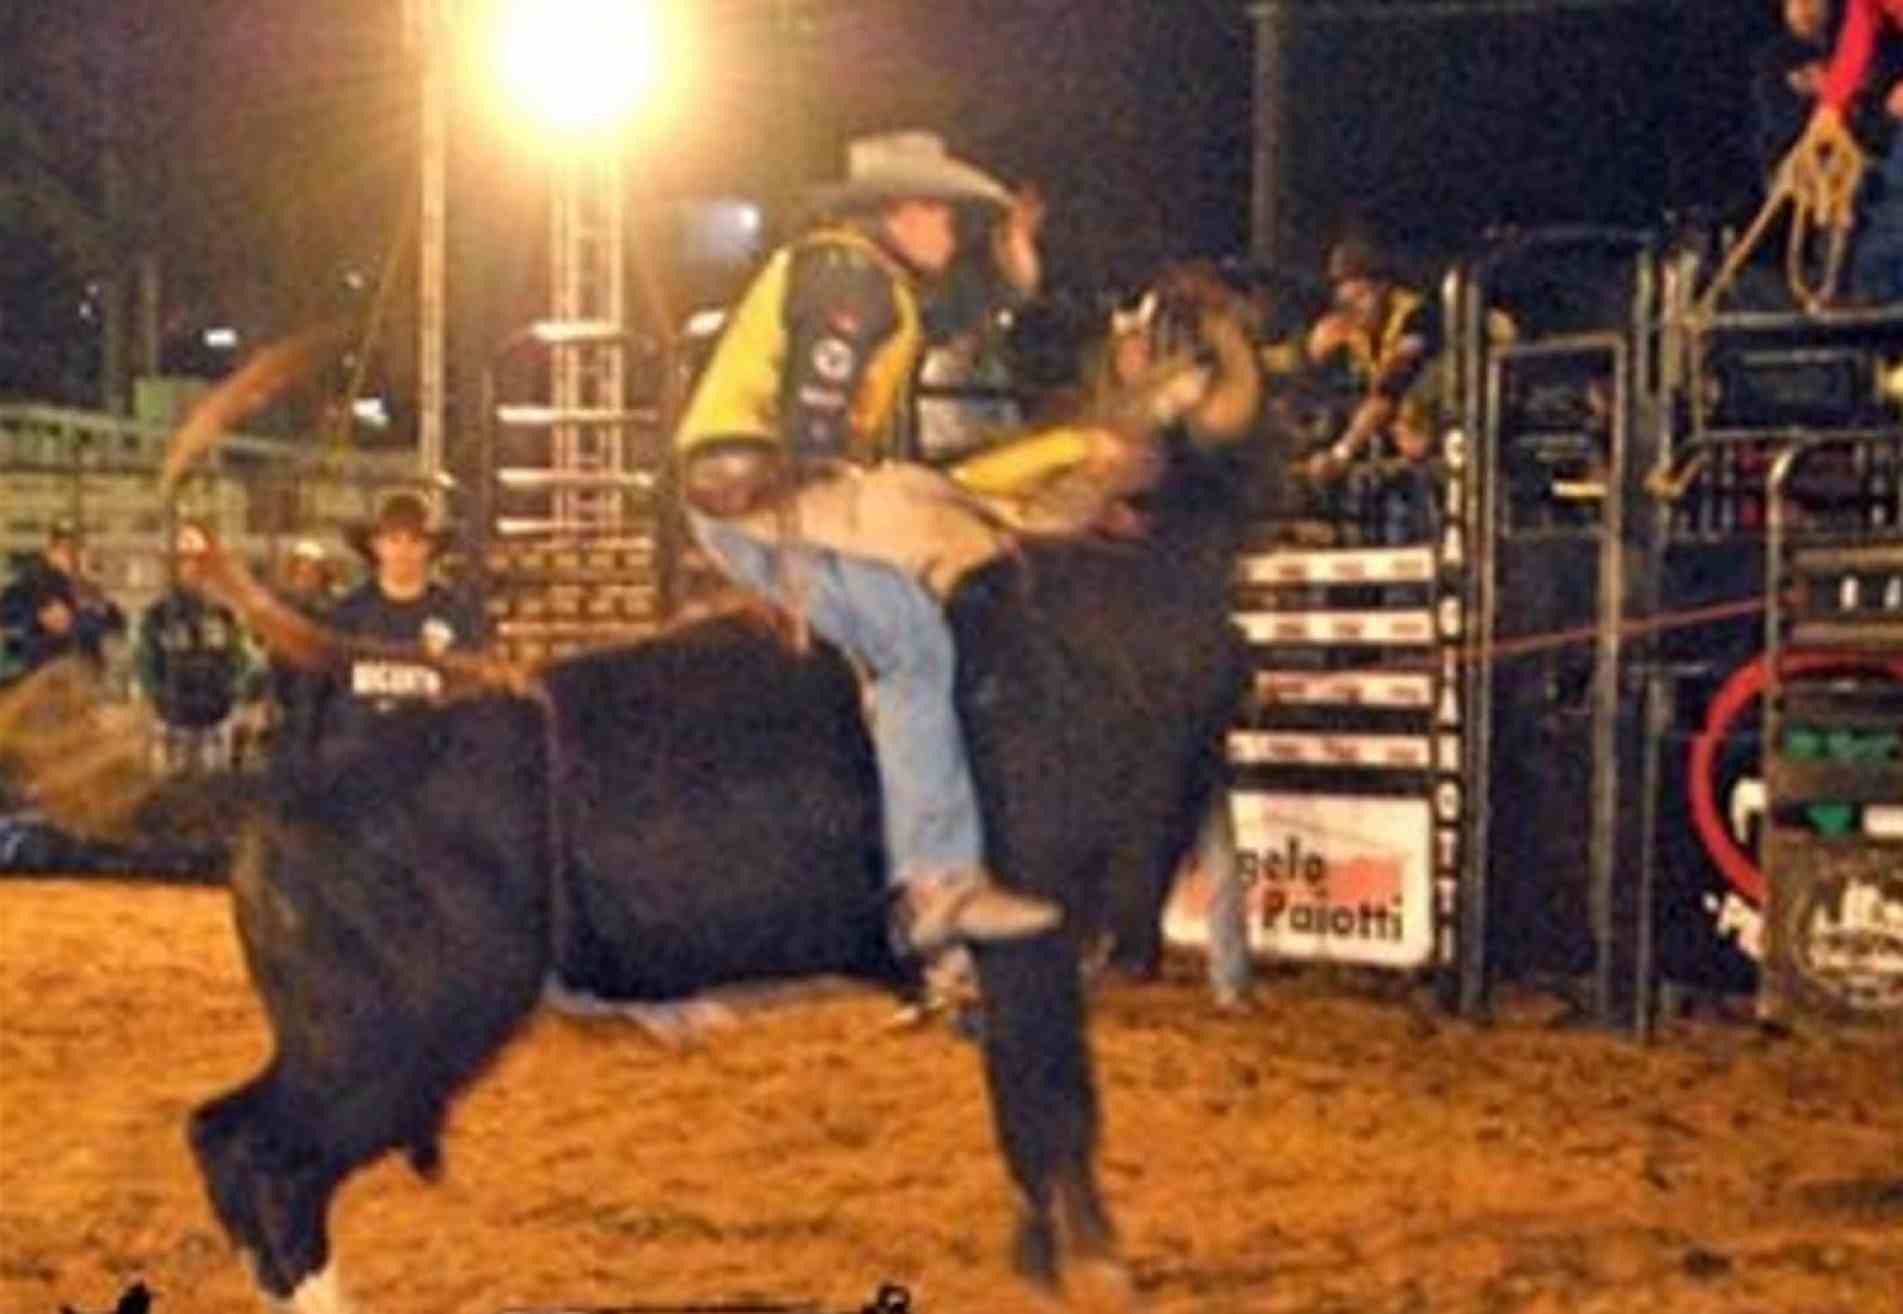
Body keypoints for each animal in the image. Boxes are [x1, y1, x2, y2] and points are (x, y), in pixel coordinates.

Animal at [185, 447, 1255, 1302]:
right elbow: (1051, 1107)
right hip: (385, 1044)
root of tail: (272, 810)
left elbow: (1033, 1109)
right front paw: (1095, 1264)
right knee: (258, 1159)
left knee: (231, 1144)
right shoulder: (1033, 944)